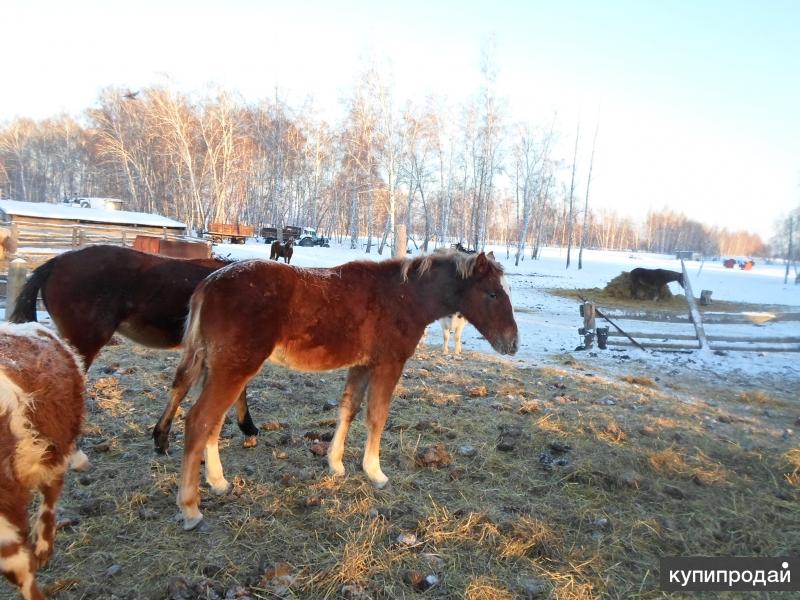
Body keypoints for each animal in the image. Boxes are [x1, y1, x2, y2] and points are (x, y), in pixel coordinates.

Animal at [169, 251, 520, 528]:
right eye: (492, 294)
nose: (513, 343)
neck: (403, 297)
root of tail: (207, 286)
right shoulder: (388, 363)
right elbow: (377, 415)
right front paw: (375, 473)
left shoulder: (362, 364)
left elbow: (349, 408)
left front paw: (335, 465)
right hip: (235, 368)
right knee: (199, 421)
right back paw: (190, 509)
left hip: (218, 368)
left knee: (212, 422)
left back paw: (218, 482)